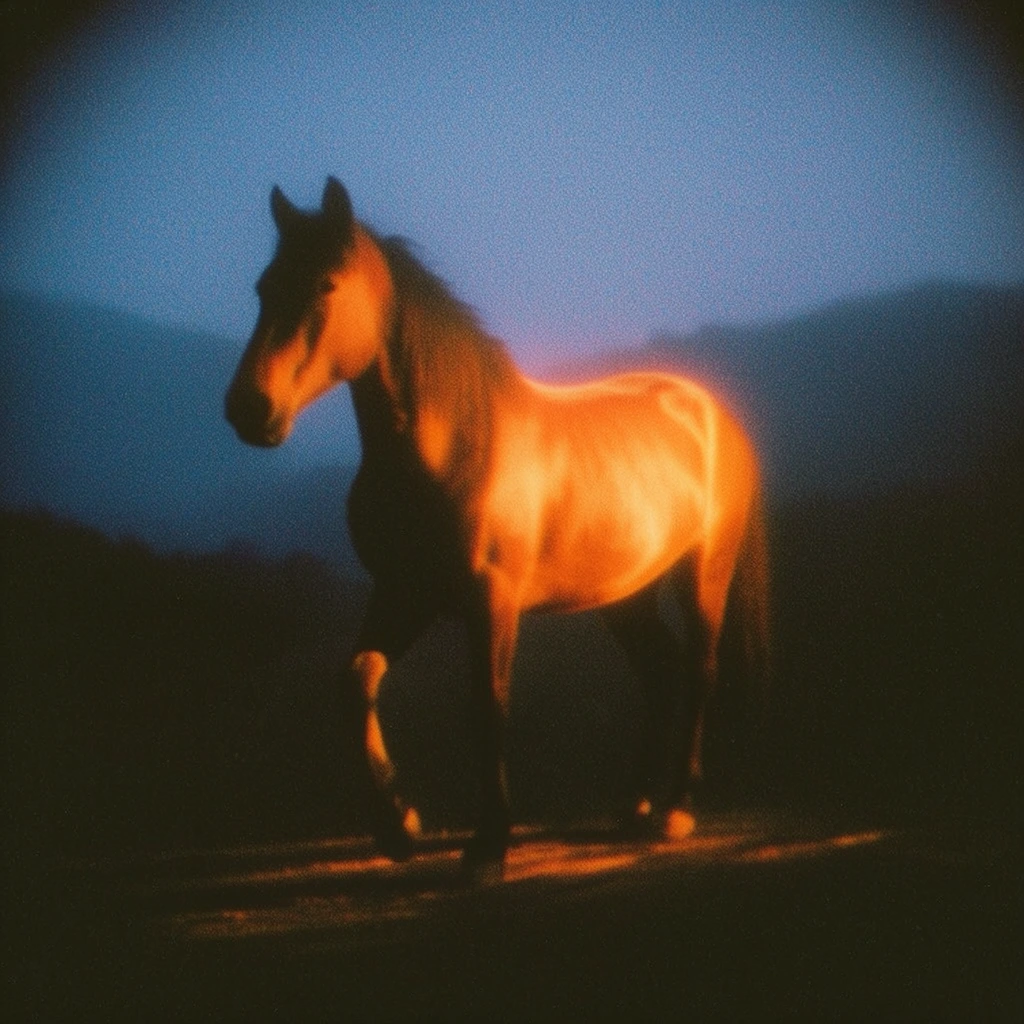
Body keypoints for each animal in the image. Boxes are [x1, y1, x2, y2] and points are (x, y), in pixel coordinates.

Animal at [225, 177, 768, 878]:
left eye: (325, 284)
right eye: (264, 287)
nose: (248, 409)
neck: (453, 444)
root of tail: (712, 413)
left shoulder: (493, 600)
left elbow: (488, 707)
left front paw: (487, 846)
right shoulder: (404, 593)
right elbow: (357, 680)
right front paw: (398, 825)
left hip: (705, 571)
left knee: (699, 669)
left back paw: (674, 810)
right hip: (625, 593)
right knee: (660, 670)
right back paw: (637, 807)